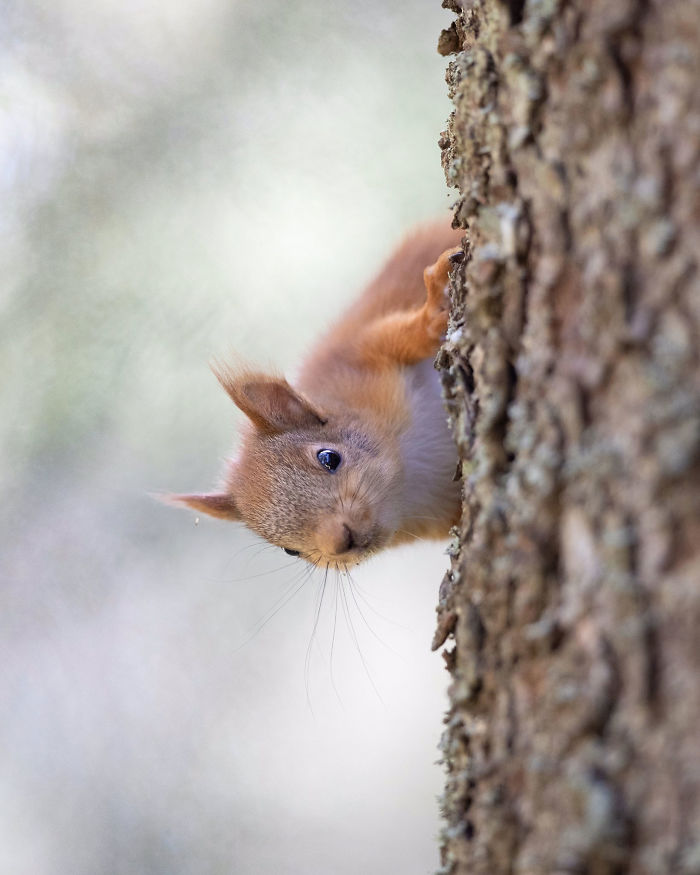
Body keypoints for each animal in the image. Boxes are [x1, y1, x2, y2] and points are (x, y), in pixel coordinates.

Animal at [169, 222, 464, 569]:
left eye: (329, 458)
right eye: (289, 550)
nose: (340, 542)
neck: (409, 471)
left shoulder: (361, 355)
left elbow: (411, 335)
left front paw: (438, 300)